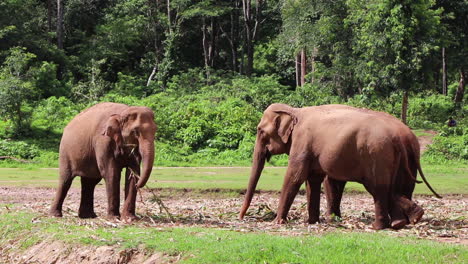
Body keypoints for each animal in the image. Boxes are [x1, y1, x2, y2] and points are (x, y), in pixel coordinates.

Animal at [239, 103, 440, 229]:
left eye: (260, 131)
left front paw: (277, 222)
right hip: (400, 159)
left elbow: (295, 176)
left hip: (377, 155)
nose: (241, 218)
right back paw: (408, 219)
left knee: (379, 188)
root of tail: (398, 137)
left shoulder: (302, 142)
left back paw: (380, 226)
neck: (295, 110)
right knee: (396, 187)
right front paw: (313, 222)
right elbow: (313, 180)